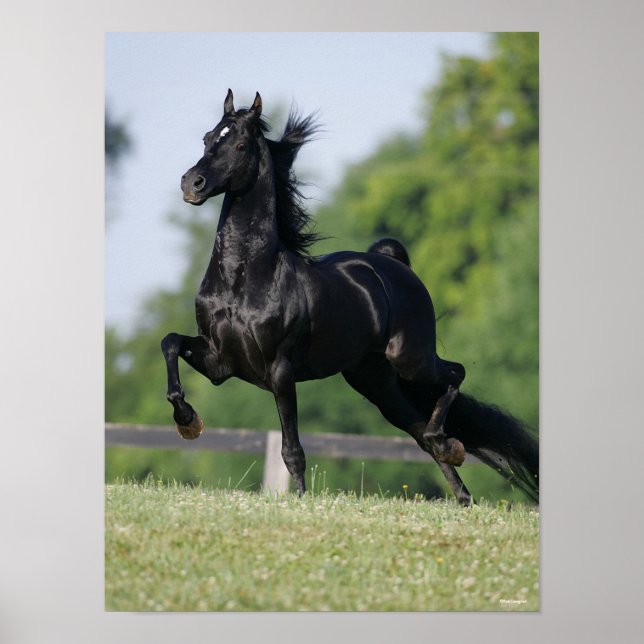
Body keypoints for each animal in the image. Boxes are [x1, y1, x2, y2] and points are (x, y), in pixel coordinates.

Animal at [161, 89, 539, 504]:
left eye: (240, 144)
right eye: (208, 138)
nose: (191, 184)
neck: (243, 279)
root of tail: (394, 266)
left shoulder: (280, 370)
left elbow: (292, 449)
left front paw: (300, 500)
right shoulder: (221, 363)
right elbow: (171, 343)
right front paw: (187, 421)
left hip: (410, 359)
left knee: (454, 375)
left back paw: (448, 446)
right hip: (376, 382)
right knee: (420, 433)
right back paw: (461, 491)